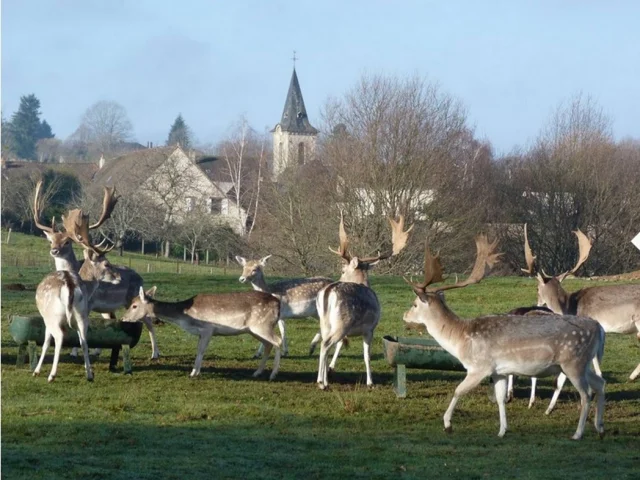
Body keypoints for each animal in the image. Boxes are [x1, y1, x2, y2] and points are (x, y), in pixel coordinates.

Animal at [33, 181, 161, 360]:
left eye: (67, 242)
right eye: (51, 240)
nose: (54, 251)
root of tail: (141, 277)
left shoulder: (90, 303)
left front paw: (76, 351)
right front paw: (85, 350)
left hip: (132, 299)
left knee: (147, 320)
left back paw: (155, 353)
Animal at [121, 284, 282, 382]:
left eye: (134, 306)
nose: (123, 318)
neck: (184, 317)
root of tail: (278, 303)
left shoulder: (207, 329)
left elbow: (200, 350)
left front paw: (193, 373)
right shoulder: (201, 333)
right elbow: (199, 350)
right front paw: (196, 372)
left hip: (262, 325)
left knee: (278, 341)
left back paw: (273, 375)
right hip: (254, 329)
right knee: (268, 344)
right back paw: (257, 372)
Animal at [316, 214, 416, 390]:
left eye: (343, 270)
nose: (340, 276)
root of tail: (328, 292)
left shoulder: (350, 331)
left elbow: (340, 346)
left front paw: (331, 369)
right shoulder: (370, 328)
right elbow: (366, 355)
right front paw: (370, 382)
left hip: (326, 323)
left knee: (324, 343)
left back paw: (321, 380)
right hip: (342, 322)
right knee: (325, 344)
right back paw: (322, 383)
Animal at [404, 234, 604, 440]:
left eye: (414, 304)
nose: (405, 315)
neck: (461, 339)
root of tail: (598, 328)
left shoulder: (479, 367)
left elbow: (458, 390)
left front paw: (447, 424)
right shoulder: (498, 371)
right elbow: (500, 399)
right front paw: (502, 430)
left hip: (573, 362)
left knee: (586, 394)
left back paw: (578, 433)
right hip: (583, 364)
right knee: (600, 383)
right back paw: (600, 428)